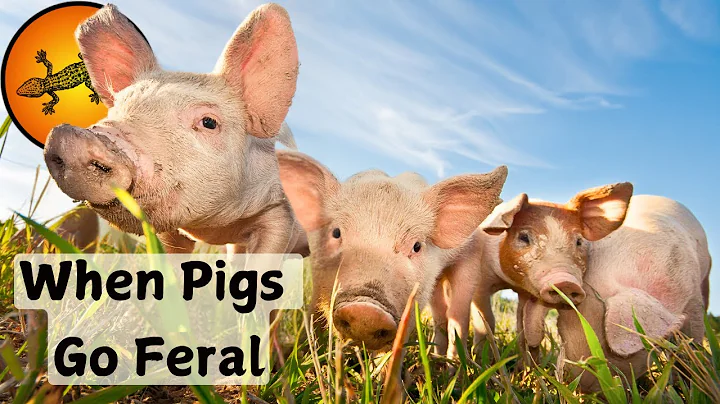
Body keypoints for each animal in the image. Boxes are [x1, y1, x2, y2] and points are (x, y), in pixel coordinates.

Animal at [276, 150, 508, 356]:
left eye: (416, 246)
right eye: (336, 232)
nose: (366, 311)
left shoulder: (414, 300)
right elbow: (313, 317)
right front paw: (301, 354)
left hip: (470, 263)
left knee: (458, 316)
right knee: (440, 314)